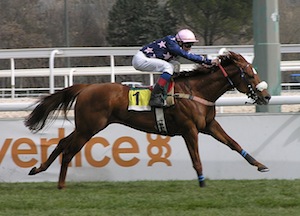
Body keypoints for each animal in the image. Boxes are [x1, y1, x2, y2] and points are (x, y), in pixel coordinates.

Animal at [24, 51, 270, 189]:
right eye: (250, 74)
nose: (266, 96)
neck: (196, 91)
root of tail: (86, 87)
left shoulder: (209, 125)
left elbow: (234, 144)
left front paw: (260, 165)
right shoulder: (189, 129)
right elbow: (196, 159)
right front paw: (202, 182)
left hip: (86, 126)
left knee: (62, 143)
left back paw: (39, 169)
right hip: (89, 128)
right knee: (68, 151)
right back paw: (61, 184)